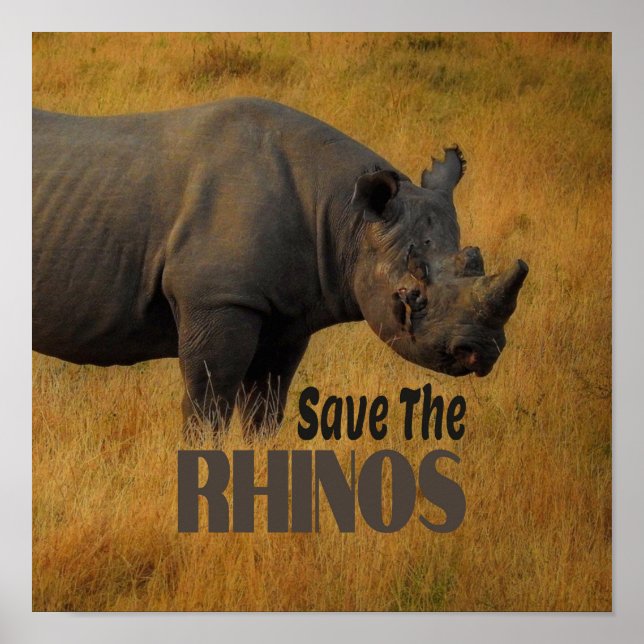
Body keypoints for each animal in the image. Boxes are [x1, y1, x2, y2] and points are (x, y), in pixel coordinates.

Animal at [32, 97, 528, 435]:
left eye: (474, 260)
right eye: (413, 296)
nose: (482, 351)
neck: (346, 216)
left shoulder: (288, 313)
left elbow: (266, 408)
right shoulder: (219, 298)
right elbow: (208, 402)